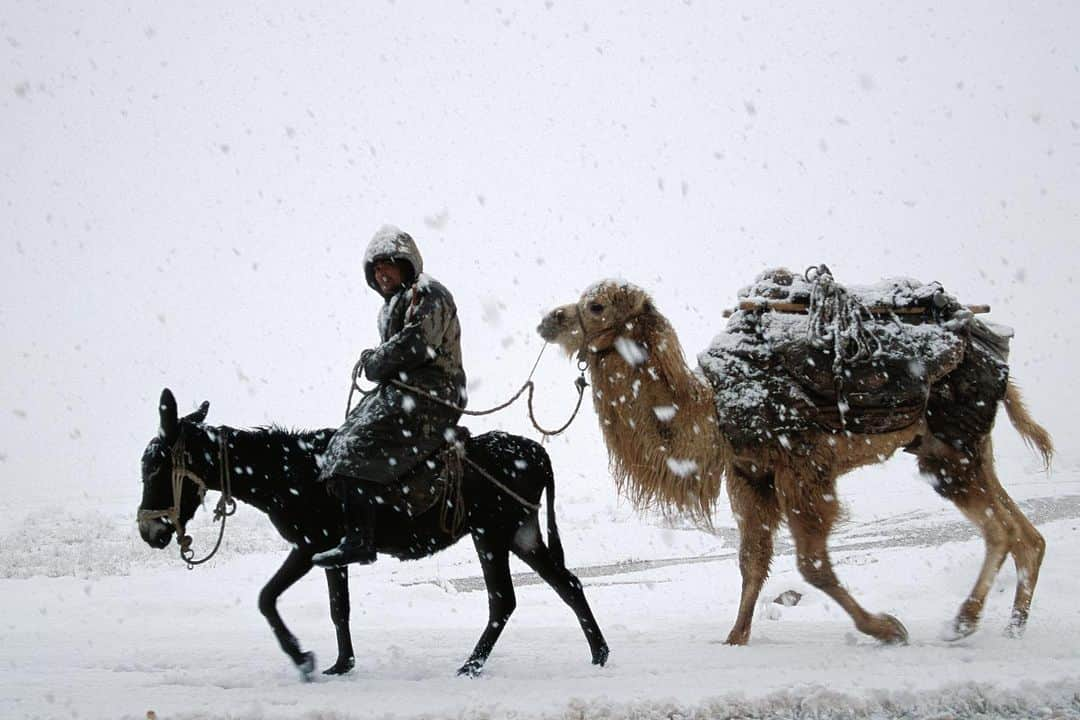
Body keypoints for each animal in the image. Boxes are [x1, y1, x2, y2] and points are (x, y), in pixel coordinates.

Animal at [540, 278, 1054, 643]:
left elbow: (811, 564)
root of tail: (990, 350)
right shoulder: (750, 474)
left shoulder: (803, 467)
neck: (712, 412)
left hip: (952, 443)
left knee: (1000, 529)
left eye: (596, 306)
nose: (549, 317)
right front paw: (735, 637)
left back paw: (964, 621)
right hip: (956, 445)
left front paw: (887, 629)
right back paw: (1013, 625)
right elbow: (752, 560)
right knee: (1024, 533)